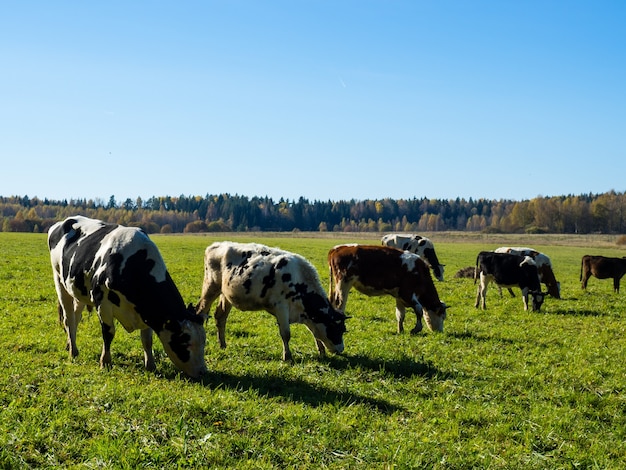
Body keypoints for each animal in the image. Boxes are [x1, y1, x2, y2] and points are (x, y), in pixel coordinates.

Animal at [47, 217, 207, 378]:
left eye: (204, 341)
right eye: (184, 342)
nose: (203, 372)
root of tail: (62, 222)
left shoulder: (146, 311)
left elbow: (147, 340)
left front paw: (151, 365)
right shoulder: (102, 301)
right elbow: (108, 333)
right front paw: (105, 362)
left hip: (77, 291)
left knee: (75, 317)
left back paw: (69, 344)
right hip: (59, 281)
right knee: (68, 319)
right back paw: (73, 351)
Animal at [194, 241, 346, 362]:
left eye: (343, 330)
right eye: (336, 329)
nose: (341, 349)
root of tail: (217, 244)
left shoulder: (305, 315)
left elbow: (314, 333)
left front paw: (321, 351)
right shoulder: (281, 308)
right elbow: (286, 334)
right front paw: (287, 357)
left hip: (226, 294)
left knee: (220, 317)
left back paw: (223, 345)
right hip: (210, 286)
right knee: (200, 311)